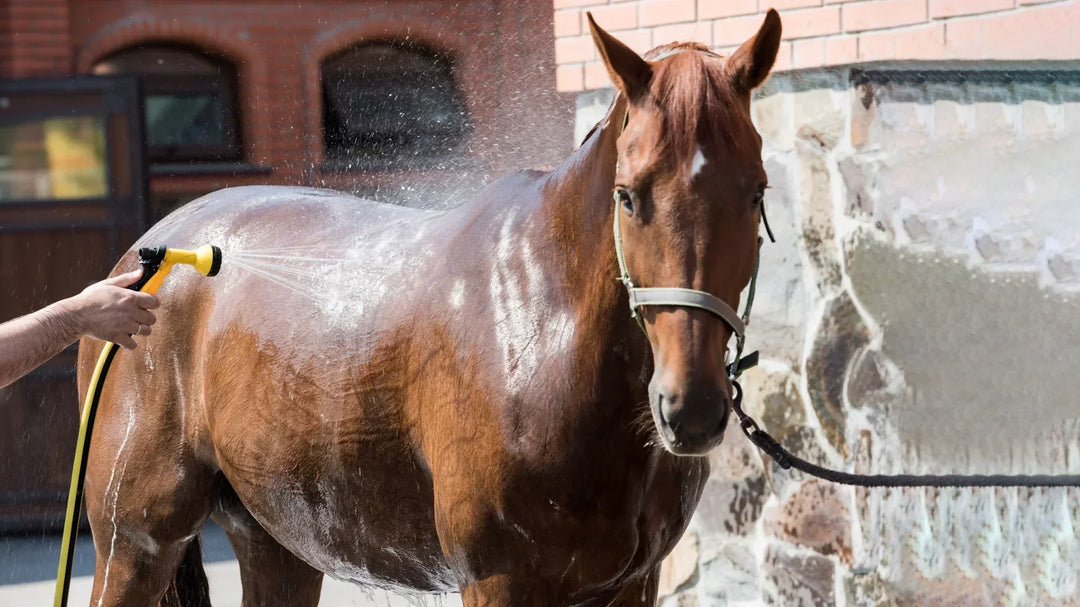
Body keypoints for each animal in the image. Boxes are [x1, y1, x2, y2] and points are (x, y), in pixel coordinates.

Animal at [76, 11, 782, 606]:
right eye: (628, 195)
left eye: (756, 192)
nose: (690, 408)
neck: (544, 332)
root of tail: (152, 254)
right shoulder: (499, 581)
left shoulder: (634, 583)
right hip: (133, 543)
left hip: (277, 541)